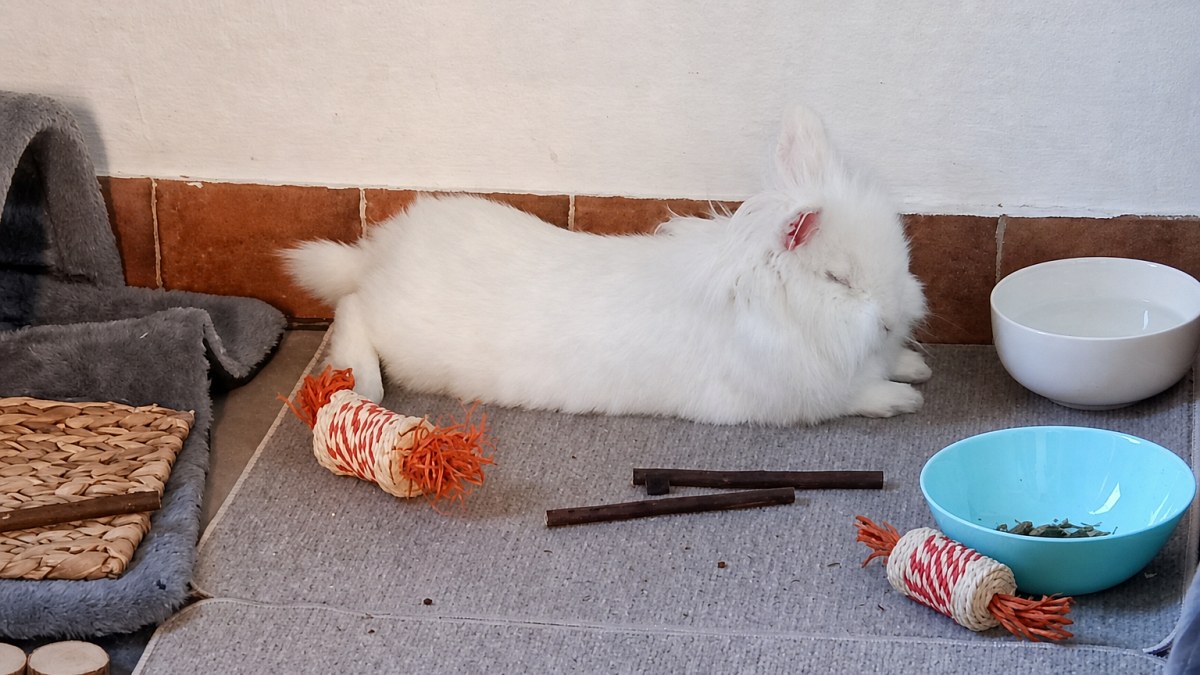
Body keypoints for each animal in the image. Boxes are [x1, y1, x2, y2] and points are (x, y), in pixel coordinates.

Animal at [283, 106, 930, 425]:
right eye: (838, 279)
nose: (894, 318)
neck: (774, 308)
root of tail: (378, 255)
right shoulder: (790, 399)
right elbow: (852, 397)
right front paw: (904, 400)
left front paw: (915, 366)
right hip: (399, 331)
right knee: (350, 310)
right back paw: (365, 383)